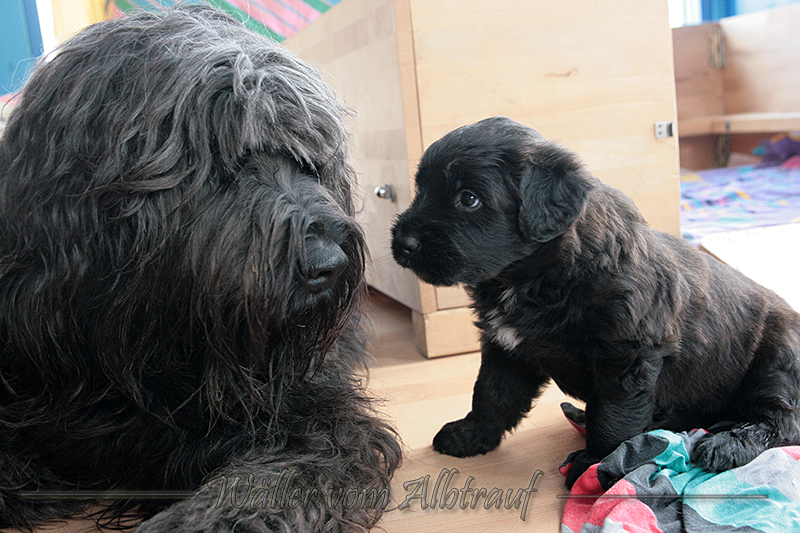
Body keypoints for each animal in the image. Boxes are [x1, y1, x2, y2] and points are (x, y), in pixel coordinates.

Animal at [392, 116, 800, 488]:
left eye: (469, 199)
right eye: (420, 189)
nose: (402, 243)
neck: (537, 277)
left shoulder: (626, 357)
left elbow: (611, 418)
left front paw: (596, 465)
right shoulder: (507, 348)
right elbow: (492, 393)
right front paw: (470, 434)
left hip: (777, 362)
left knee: (783, 421)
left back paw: (726, 445)